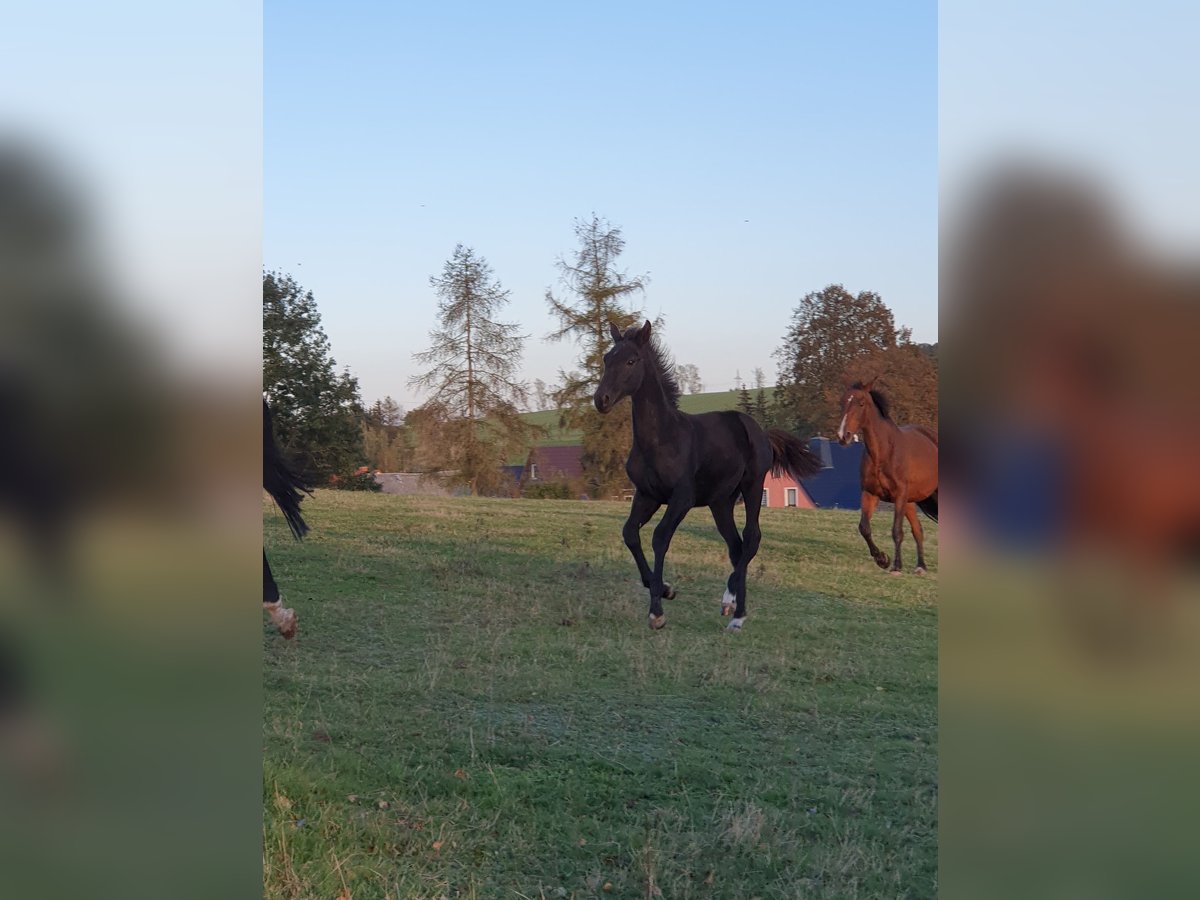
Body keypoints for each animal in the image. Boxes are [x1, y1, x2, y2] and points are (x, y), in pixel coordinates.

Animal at [592, 321, 825, 628]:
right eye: (607, 359)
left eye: (631, 361)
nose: (601, 399)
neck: (661, 439)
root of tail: (761, 432)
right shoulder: (646, 495)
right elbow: (630, 533)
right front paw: (665, 589)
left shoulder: (682, 498)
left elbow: (660, 537)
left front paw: (657, 610)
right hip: (721, 502)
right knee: (736, 545)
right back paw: (735, 608)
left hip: (752, 485)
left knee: (751, 538)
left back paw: (733, 607)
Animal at [835, 381, 936, 578]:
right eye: (842, 403)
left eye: (861, 403)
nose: (843, 436)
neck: (885, 452)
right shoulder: (870, 494)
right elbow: (864, 528)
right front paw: (882, 559)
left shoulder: (899, 496)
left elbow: (896, 531)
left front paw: (896, 566)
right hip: (910, 502)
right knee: (918, 530)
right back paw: (921, 566)